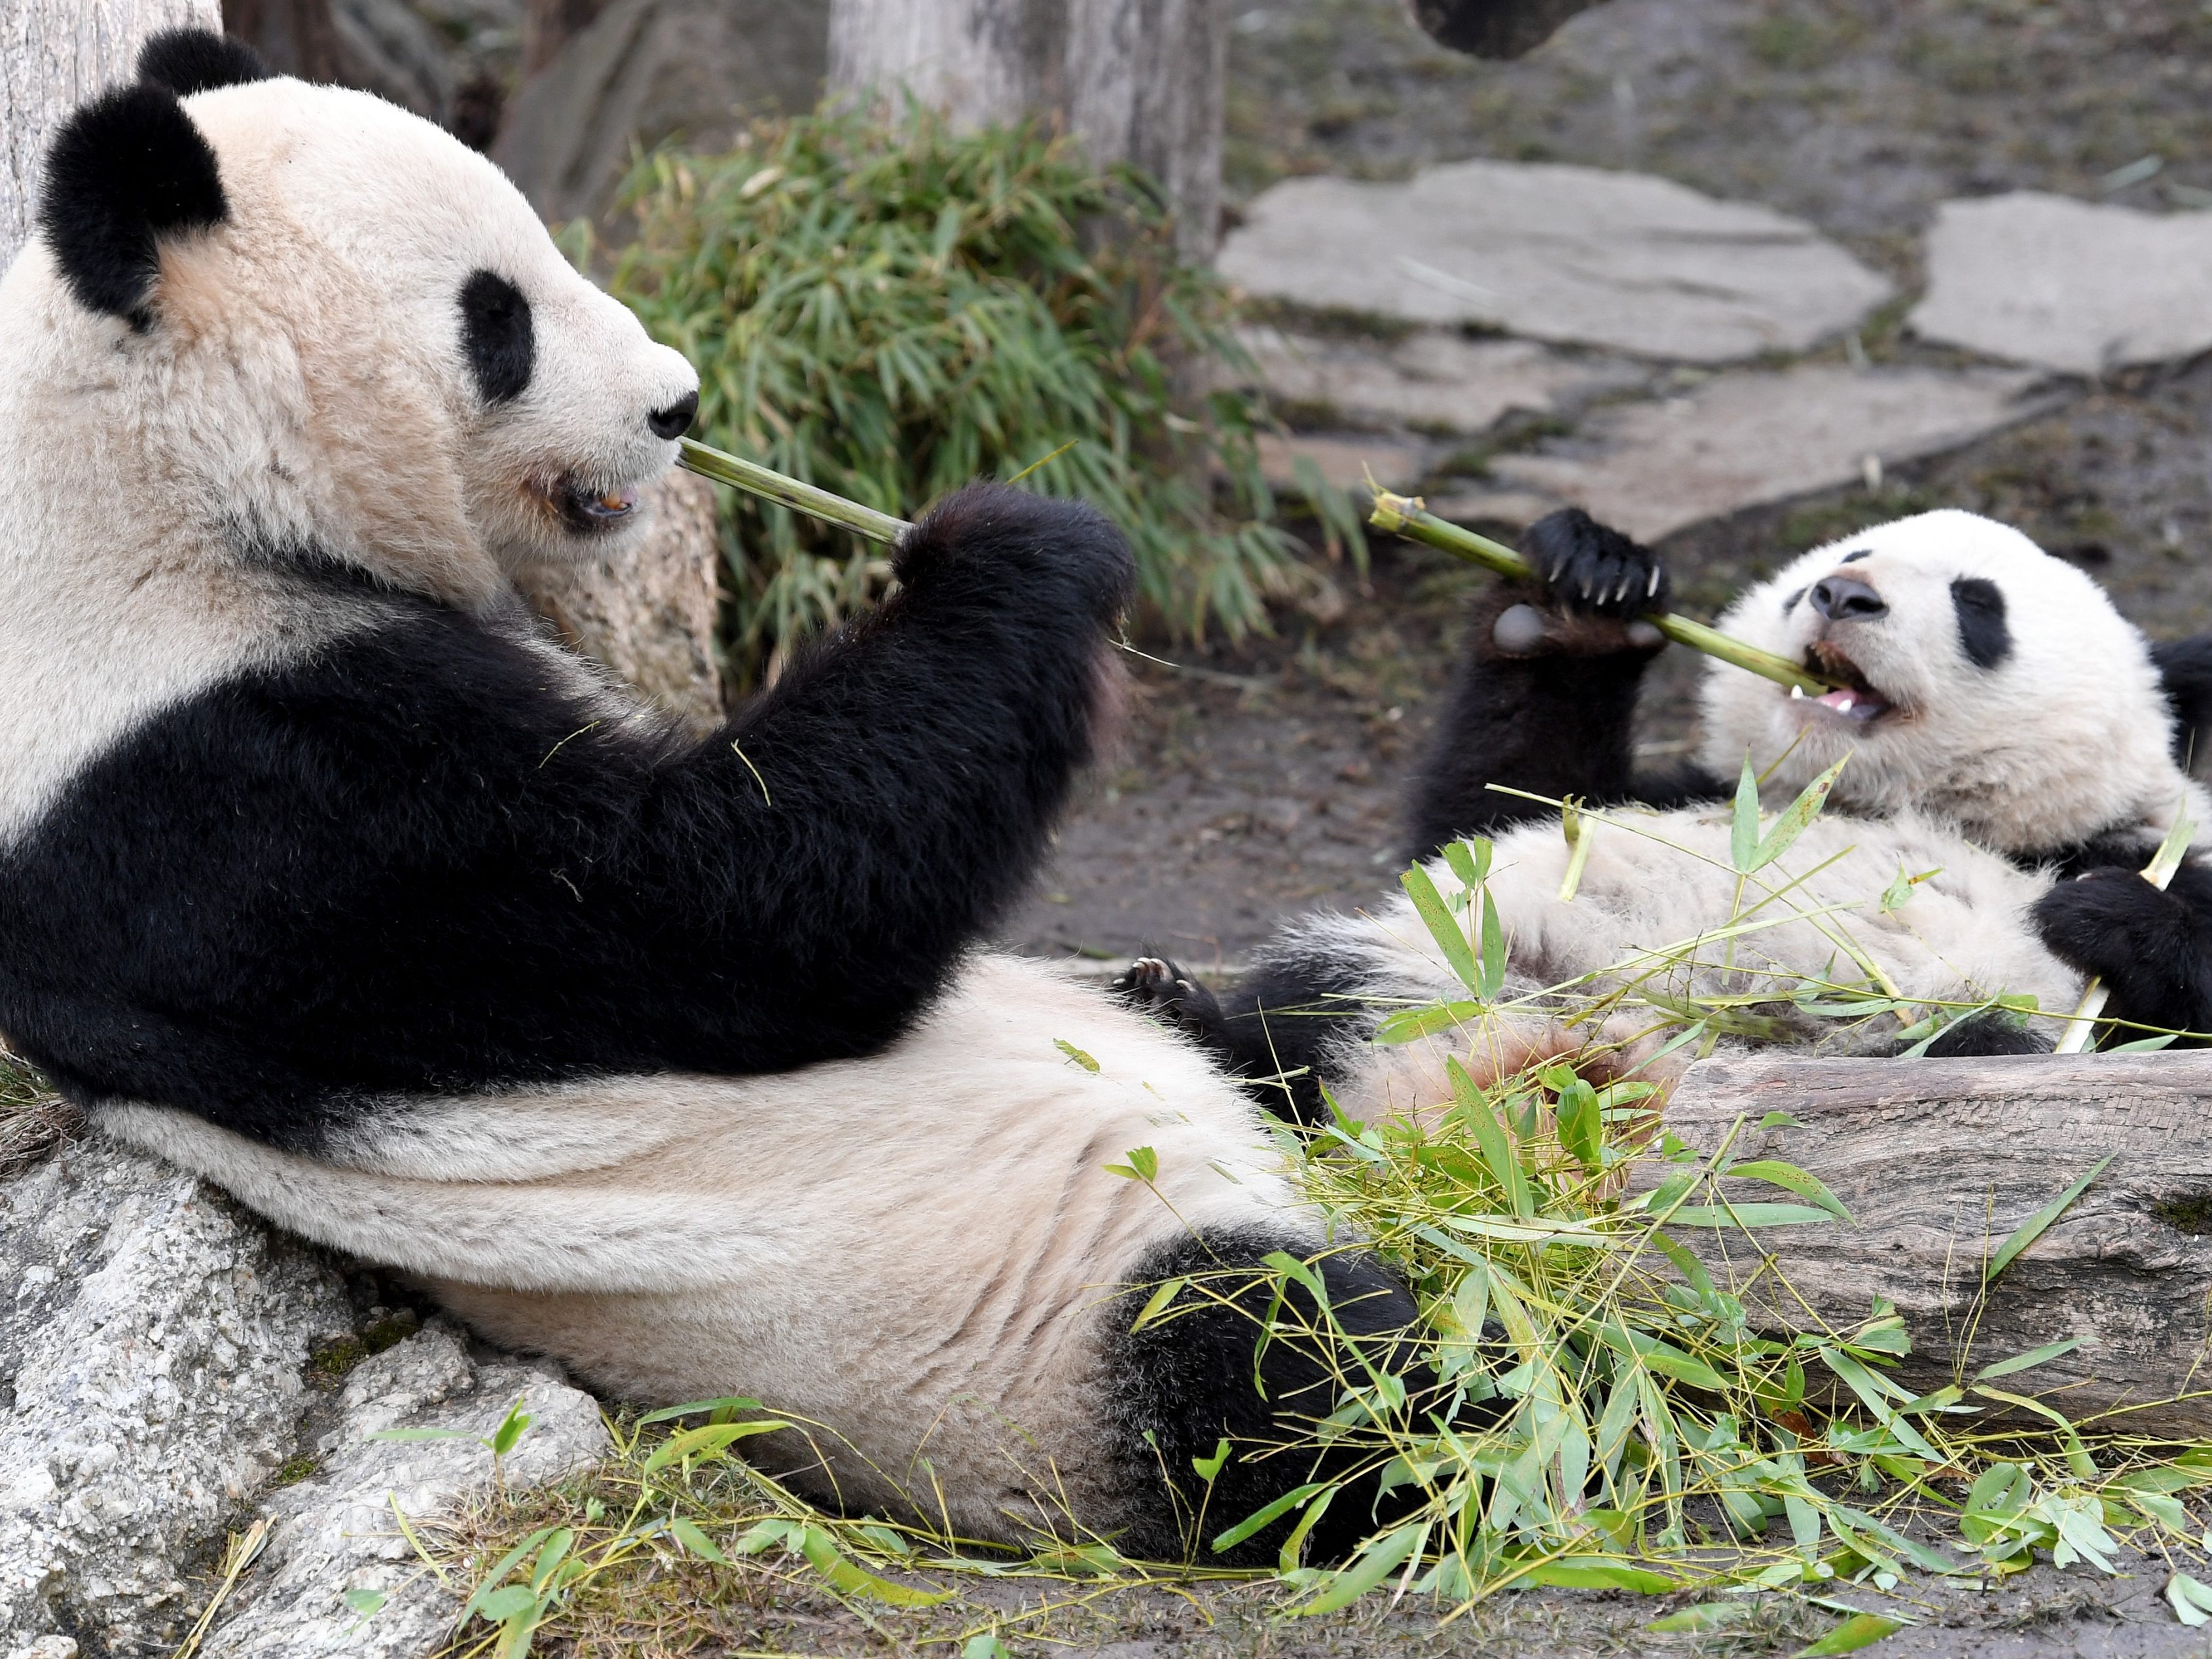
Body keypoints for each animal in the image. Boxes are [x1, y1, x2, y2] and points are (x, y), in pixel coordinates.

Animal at [0, 35, 1415, 1575]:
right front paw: (1011, 546)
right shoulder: (239, 799)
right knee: (1283, 1366)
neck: (149, 474)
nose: (677, 406)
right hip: (1029, 1334)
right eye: (496, 317)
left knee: (1311, 1022)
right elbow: (743, 906)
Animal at [1123, 511, 2212, 1132]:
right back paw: (1180, 1018)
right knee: (1309, 1010)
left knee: (1966, 1060)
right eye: (1843, 557)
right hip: (1462, 967)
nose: (1842, 596)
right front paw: (1582, 590)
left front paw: (2109, 912)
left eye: (1977, 605)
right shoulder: (1684, 795)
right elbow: (1495, 810)